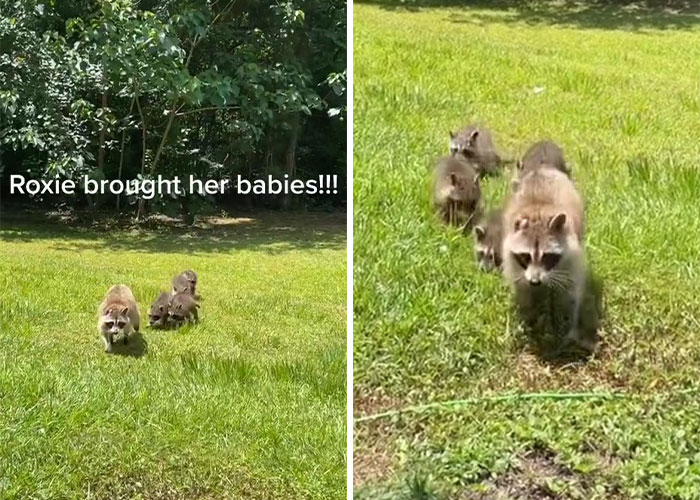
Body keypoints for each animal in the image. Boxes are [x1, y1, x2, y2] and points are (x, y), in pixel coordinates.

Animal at [502, 167, 591, 349]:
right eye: (525, 256)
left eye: (547, 256)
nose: (535, 282)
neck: (538, 213)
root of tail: (542, 169)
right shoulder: (513, 260)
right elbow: (521, 289)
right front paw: (528, 317)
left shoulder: (572, 257)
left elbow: (572, 293)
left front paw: (569, 326)